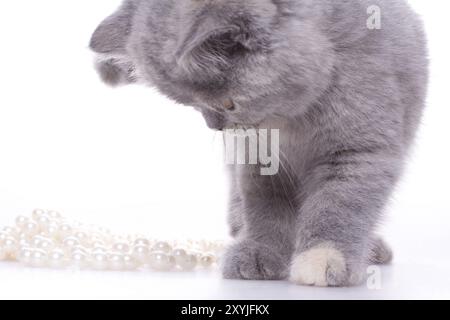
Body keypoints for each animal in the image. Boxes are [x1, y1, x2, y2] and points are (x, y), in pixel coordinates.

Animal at [89, 0, 428, 284]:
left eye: (228, 103)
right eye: (194, 106)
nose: (215, 126)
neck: (294, 120)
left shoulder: (359, 149)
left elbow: (339, 205)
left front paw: (323, 257)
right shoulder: (256, 157)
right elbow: (264, 206)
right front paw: (259, 251)